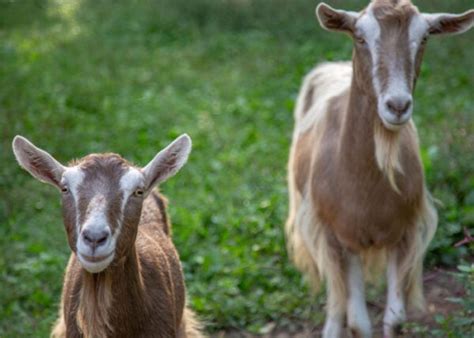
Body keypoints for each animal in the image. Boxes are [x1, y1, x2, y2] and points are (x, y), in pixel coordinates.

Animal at [286, 0, 474, 338]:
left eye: (424, 37)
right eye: (360, 37)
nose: (397, 106)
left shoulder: (404, 233)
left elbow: (395, 318)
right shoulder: (343, 236)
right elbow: (358, 322)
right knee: (336, 299)